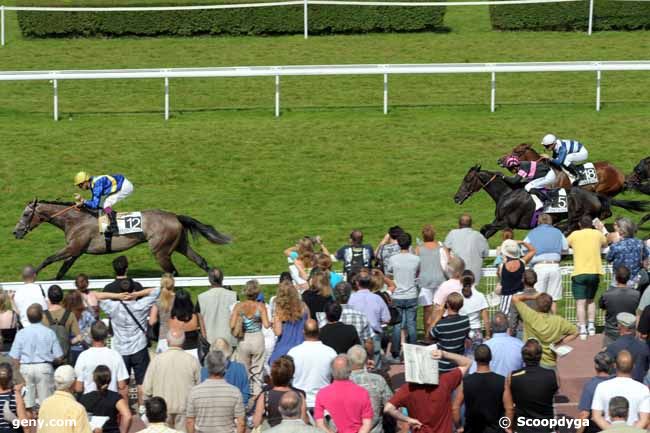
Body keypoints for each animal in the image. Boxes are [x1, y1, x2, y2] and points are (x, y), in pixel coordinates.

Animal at [12, 198, 232, 276]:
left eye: (26, 214)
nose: (16, 232)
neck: (74, 220)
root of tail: (175, 216)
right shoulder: (76, 252)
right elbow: (61, 271)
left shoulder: (73, 248)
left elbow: (48, 259)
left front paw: (31, 274)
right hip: (180, 245)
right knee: (201, 261)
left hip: (160, 251)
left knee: (172, 272)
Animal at [454, 165, 644, 236]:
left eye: (467, 179)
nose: (456, 197)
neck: (507, 194)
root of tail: (594, 195)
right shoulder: (499, 221)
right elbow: (484, 232)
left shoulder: (507, 222)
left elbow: (485, 228)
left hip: (579, 214)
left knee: (572, 226)